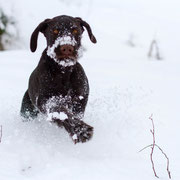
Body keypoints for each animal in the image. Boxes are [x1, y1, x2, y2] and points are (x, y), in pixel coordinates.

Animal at [20, 15, 96, 143]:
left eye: (75, 30)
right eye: (54, 31)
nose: (67, 47)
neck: (63, 73)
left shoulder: (80, 99)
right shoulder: (46, 100)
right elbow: (60, 111)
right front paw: (80, 130)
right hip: (27, 112)